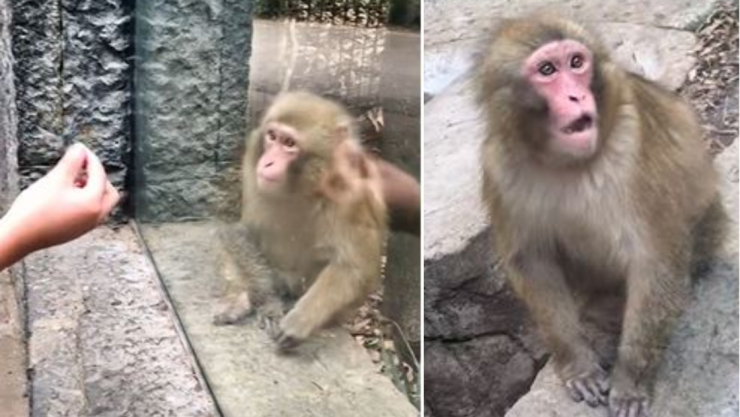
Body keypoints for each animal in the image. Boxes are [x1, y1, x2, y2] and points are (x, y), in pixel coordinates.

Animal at [212, 92, 388, 351]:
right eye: (272, 136)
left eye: (289, 143)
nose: (267, 162)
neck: (302, 185)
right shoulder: (250, 159)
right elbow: (235, 231)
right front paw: (265, 303)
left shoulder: (352, 189)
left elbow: (354, 266)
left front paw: (300, 321)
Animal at [476, 15, 724, 417]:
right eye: (547, 70)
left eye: (577, 63)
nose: (576, 96)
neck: (568, 163)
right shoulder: (499, 163)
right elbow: (533, 260)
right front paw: (579, 366)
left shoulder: (633, 144)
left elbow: (655, 260)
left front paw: (630, 381)